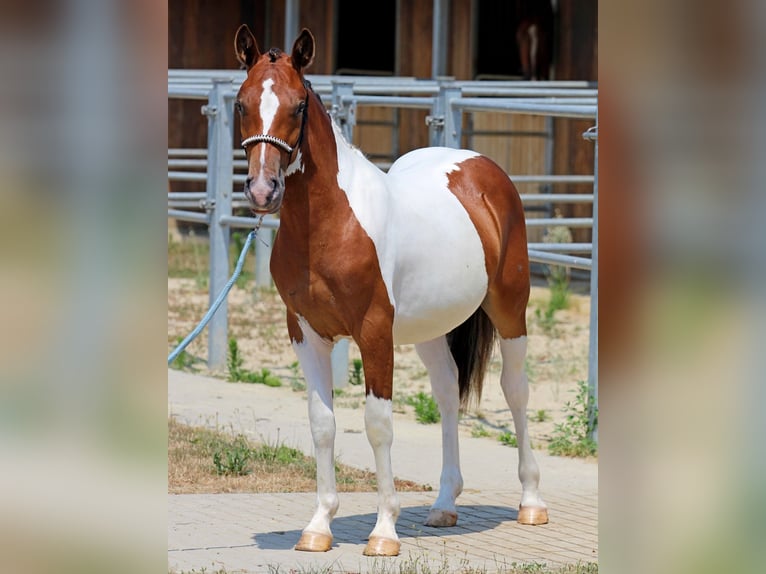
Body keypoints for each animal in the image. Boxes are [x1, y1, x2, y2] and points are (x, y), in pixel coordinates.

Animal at [233, 25, 548, 557]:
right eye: (241, 103)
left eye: (298, 105)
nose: (262, 190)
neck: (331, 225)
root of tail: (481, 168)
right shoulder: (305, 334)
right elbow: (322, 423)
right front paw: (318, 526)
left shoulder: (375, 332)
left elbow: (378, 424)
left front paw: (383, 532)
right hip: (431, 328)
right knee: (447, 392)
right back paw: (444, 505)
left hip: (510, 310)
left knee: (515, 391)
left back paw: (530, 502)